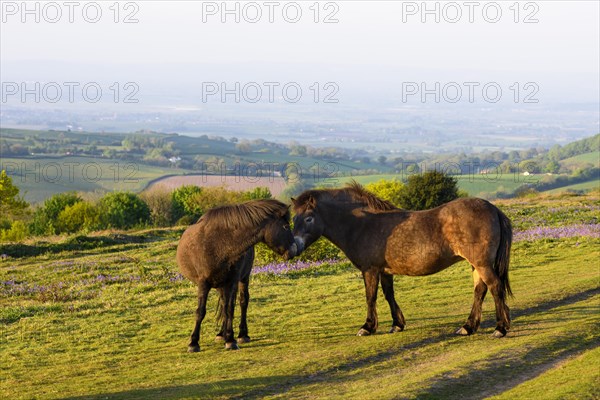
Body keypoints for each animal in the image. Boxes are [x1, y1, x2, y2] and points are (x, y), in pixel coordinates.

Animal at [178, 199, 300, 350]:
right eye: (285, 226)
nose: (294, 250)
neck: (218, 245)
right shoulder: (203, 284)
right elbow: (201, 311)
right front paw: (194, 342)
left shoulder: (231, 282)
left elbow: (230, 309)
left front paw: (231, 339)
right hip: (221, 285)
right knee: (223, 304)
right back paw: (221, 334)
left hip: (242, 278)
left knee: (242, 302)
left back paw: (242, 335)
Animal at [290, 184, 510, 338]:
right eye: (294, 219)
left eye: (309, 218)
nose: (294, 247)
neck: (362, 224)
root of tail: (492, 208)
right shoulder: (385, 271)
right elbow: (389, 295)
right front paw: (397, 324)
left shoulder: (370, 270)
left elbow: (370, 297)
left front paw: (367, 327)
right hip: (476, 265)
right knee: (479, 291)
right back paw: (467, 327)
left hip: (482, 264)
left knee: (495, 287)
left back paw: (500, 328)